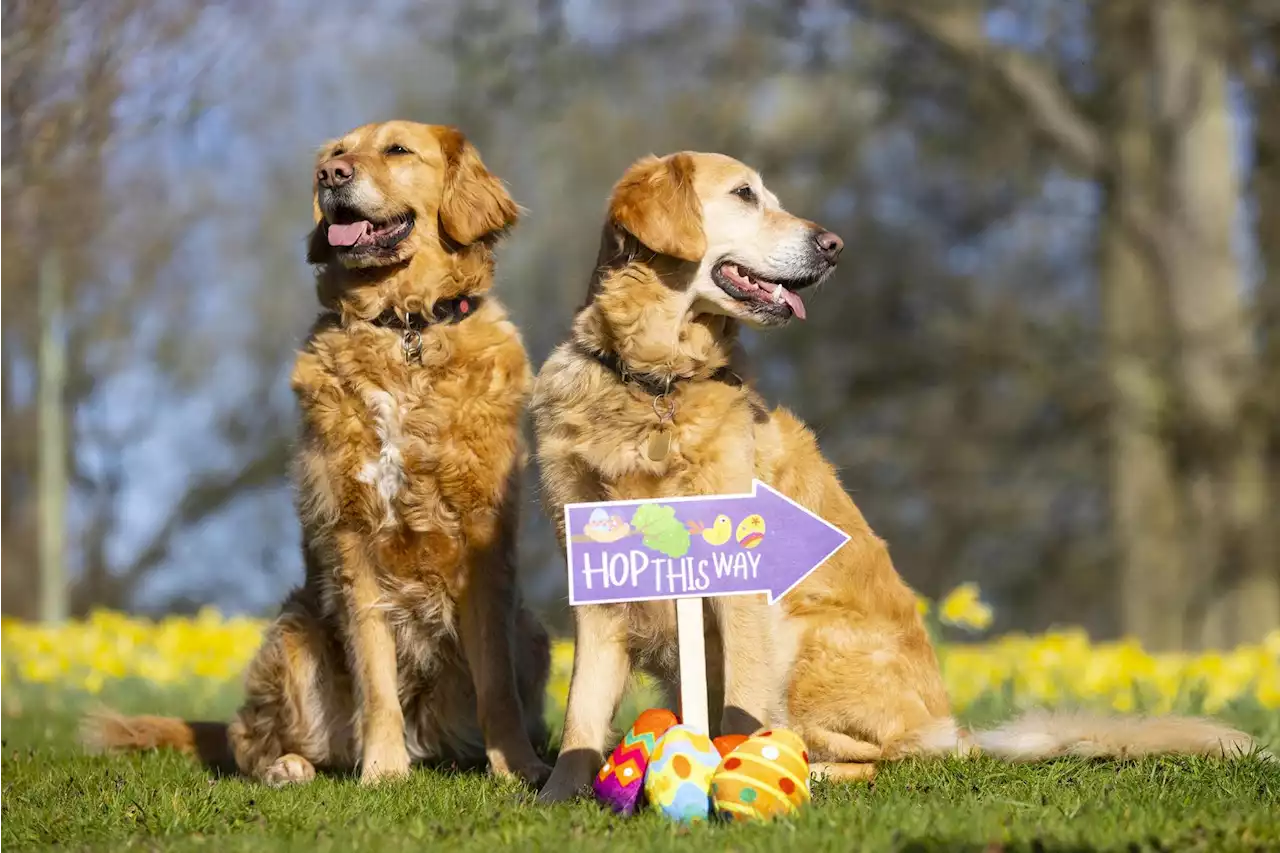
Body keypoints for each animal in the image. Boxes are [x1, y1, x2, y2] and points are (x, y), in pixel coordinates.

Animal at [82, 119, 552, 783]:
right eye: (336, 153)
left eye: (398, 150)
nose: (333, 176)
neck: (404, 328)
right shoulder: (352, 535)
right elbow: (375, 679)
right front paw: (383, 771)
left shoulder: (483, 540)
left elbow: (496, 682)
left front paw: (517, 766)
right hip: (293, 639)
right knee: (250, 739)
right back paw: (291, 766)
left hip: (533, 632)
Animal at [527, 151, 1259, 799]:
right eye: (744, 194)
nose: (834, 246)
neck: (651, 381)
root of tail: (954, 729)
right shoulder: (598, 586)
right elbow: (581, 713)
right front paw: (559, 797)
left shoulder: (739, 586)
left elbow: (738, 707)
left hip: (803, 633)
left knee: (875, 758)